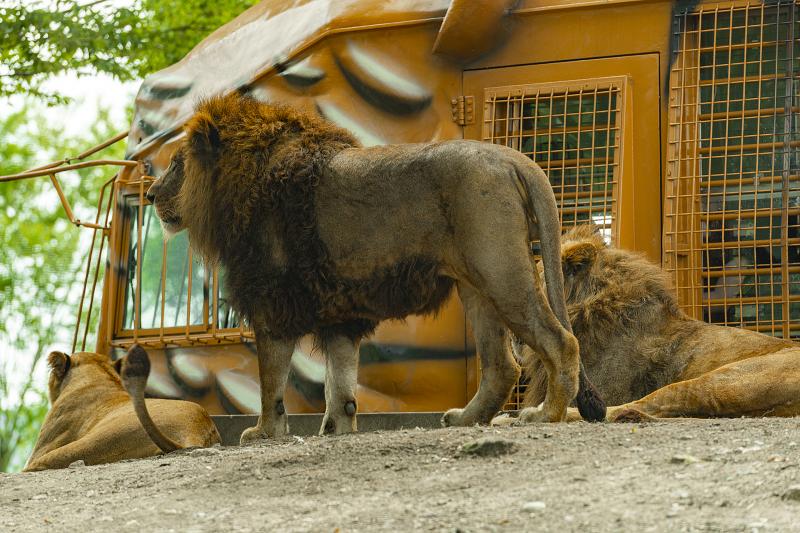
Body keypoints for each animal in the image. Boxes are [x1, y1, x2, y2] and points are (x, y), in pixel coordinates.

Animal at [145, 91, 608, 440]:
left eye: (176, 164)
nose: (149, 194)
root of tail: (516, 159)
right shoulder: (338, 311)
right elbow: (340, 383)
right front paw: (337, 428)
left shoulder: (272, 300)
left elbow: (271, 382)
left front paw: (264, 433)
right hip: (476, 284)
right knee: (502, 366)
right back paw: (466, 419)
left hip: (502, 273)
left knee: (560, 342)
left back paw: (546, 414)